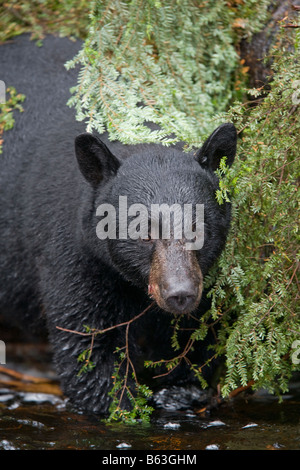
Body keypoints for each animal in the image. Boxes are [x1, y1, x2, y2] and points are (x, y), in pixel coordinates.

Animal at [0, 35, 237, 414]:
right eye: (142, 232)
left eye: (198, 231)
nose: (181, 294)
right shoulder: (73, 257)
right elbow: (87, 346)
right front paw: (120, 404)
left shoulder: (207, 276)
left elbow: (196, 337)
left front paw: (179, 392)